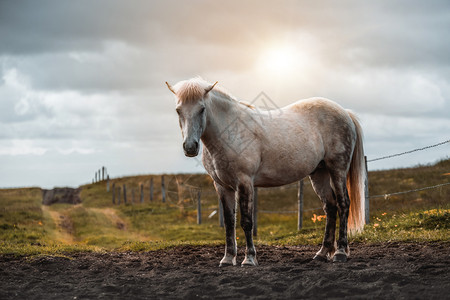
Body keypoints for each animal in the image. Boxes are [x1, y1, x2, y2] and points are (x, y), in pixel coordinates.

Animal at [165, 78, 366, 268]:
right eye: (178, 110)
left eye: (202, 109)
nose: (190, 147)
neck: (230, 131)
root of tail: (344, 112)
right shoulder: (222, 186)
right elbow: (229, 223)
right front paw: (228, 259)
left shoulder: (244, 182)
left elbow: (246, 222)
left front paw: (249, 259)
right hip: (319, 173)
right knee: (330, 207)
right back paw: (322, 253)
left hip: (337, 169)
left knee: (343, 204)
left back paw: (340, 252)